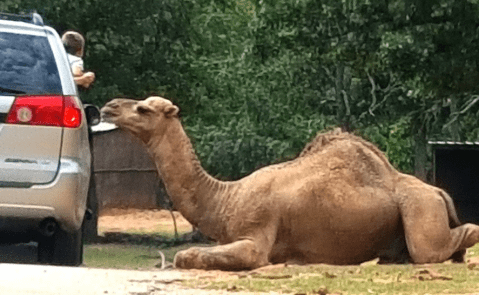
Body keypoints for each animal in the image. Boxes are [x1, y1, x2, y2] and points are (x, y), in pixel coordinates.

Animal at [100, 96, 479, 270]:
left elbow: (188, 255)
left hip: (420, 208)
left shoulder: (256, 236)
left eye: (144, 109)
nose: (109, 107)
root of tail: (438, 191)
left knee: (440, 244)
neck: (227, 198)